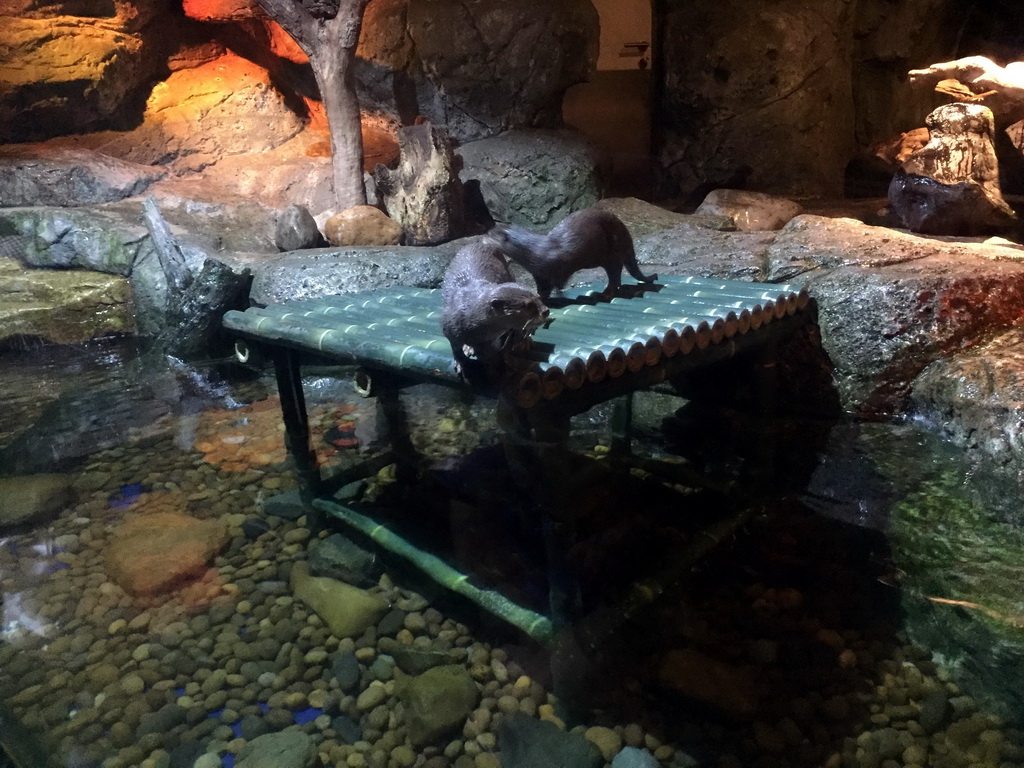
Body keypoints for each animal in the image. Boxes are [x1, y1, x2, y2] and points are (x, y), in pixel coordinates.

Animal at [440, 240, 552, 382]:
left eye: (537, 297)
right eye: (527, 304)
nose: (545, 311)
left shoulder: (493, 339)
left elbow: (497, 351)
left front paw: (502, 365)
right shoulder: (449, 327)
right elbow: (455, 347)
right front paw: (461, 363)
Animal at [485, 207, 655, 301]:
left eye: (490, 234)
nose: (484, 236)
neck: (537, 251)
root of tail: (625, 233)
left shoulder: (562, 264)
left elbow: (560, 281)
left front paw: (559, 293)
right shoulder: (538, 274)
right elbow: (542, 286)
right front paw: (539, 296)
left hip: (612, 252)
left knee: (615, 273)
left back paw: (605, 294)